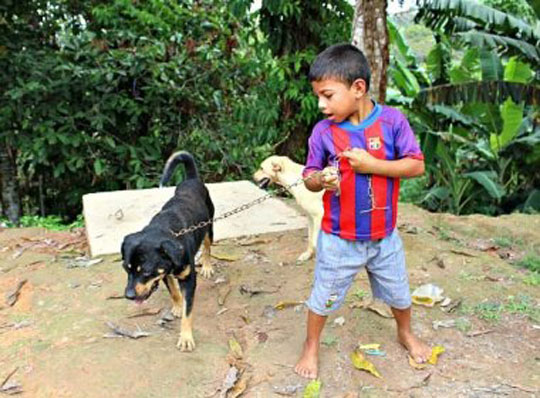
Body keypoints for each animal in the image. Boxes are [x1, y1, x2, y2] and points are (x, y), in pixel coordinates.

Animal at [121, 152, 214, 352]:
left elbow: (188, 312)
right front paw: (177, 305)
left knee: (207, 247)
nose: (129, 296)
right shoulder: (163, 273)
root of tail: (191, 180)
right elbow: (173, 290)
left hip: (209, 227)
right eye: (126, 269)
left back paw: (207, 266)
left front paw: (186, 338)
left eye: (146, 272)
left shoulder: (189, 280)